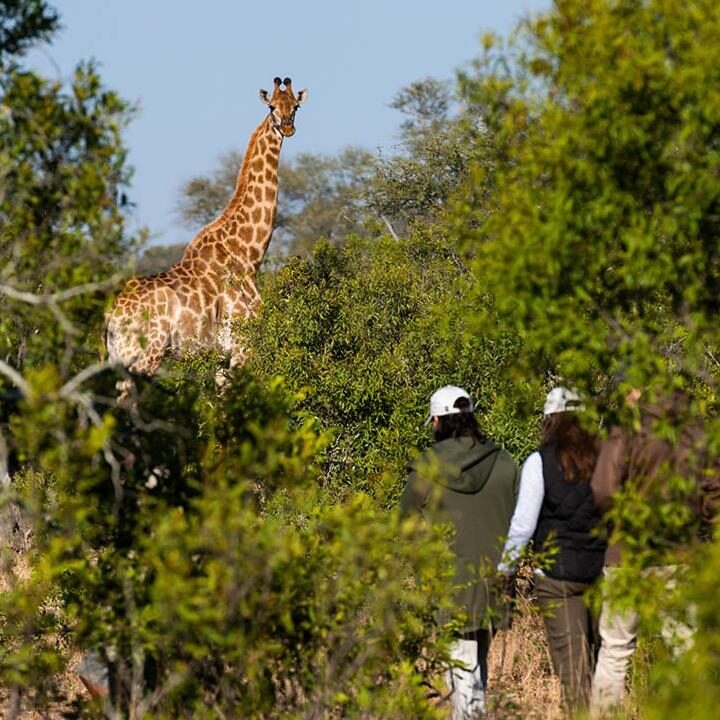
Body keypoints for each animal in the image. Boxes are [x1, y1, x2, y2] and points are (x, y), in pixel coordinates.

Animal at [104, 77, 307, 390]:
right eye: (272, 107)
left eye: (295, 106)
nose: (287, 127)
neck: (248, 254)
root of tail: (110, 317)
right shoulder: (243, 347)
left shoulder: (224, 358)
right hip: (144, 357)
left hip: (119, 360)